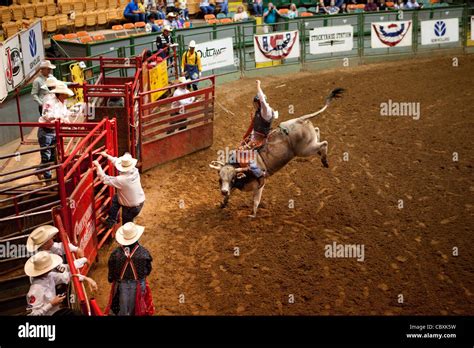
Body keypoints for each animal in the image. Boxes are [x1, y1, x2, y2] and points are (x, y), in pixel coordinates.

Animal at [211, 87, 344, 218]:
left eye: (232, 178)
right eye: (220, 179)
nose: (223, 191)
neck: (242, 168)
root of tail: (301, 119)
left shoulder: (260, 184)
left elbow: (256, 201)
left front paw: (253, 214)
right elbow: (229, 195)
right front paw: (223, 204)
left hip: (304, 150)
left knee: (324, 143)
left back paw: (324, 161)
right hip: (309, 143)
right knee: (317, 131)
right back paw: (321, 154)